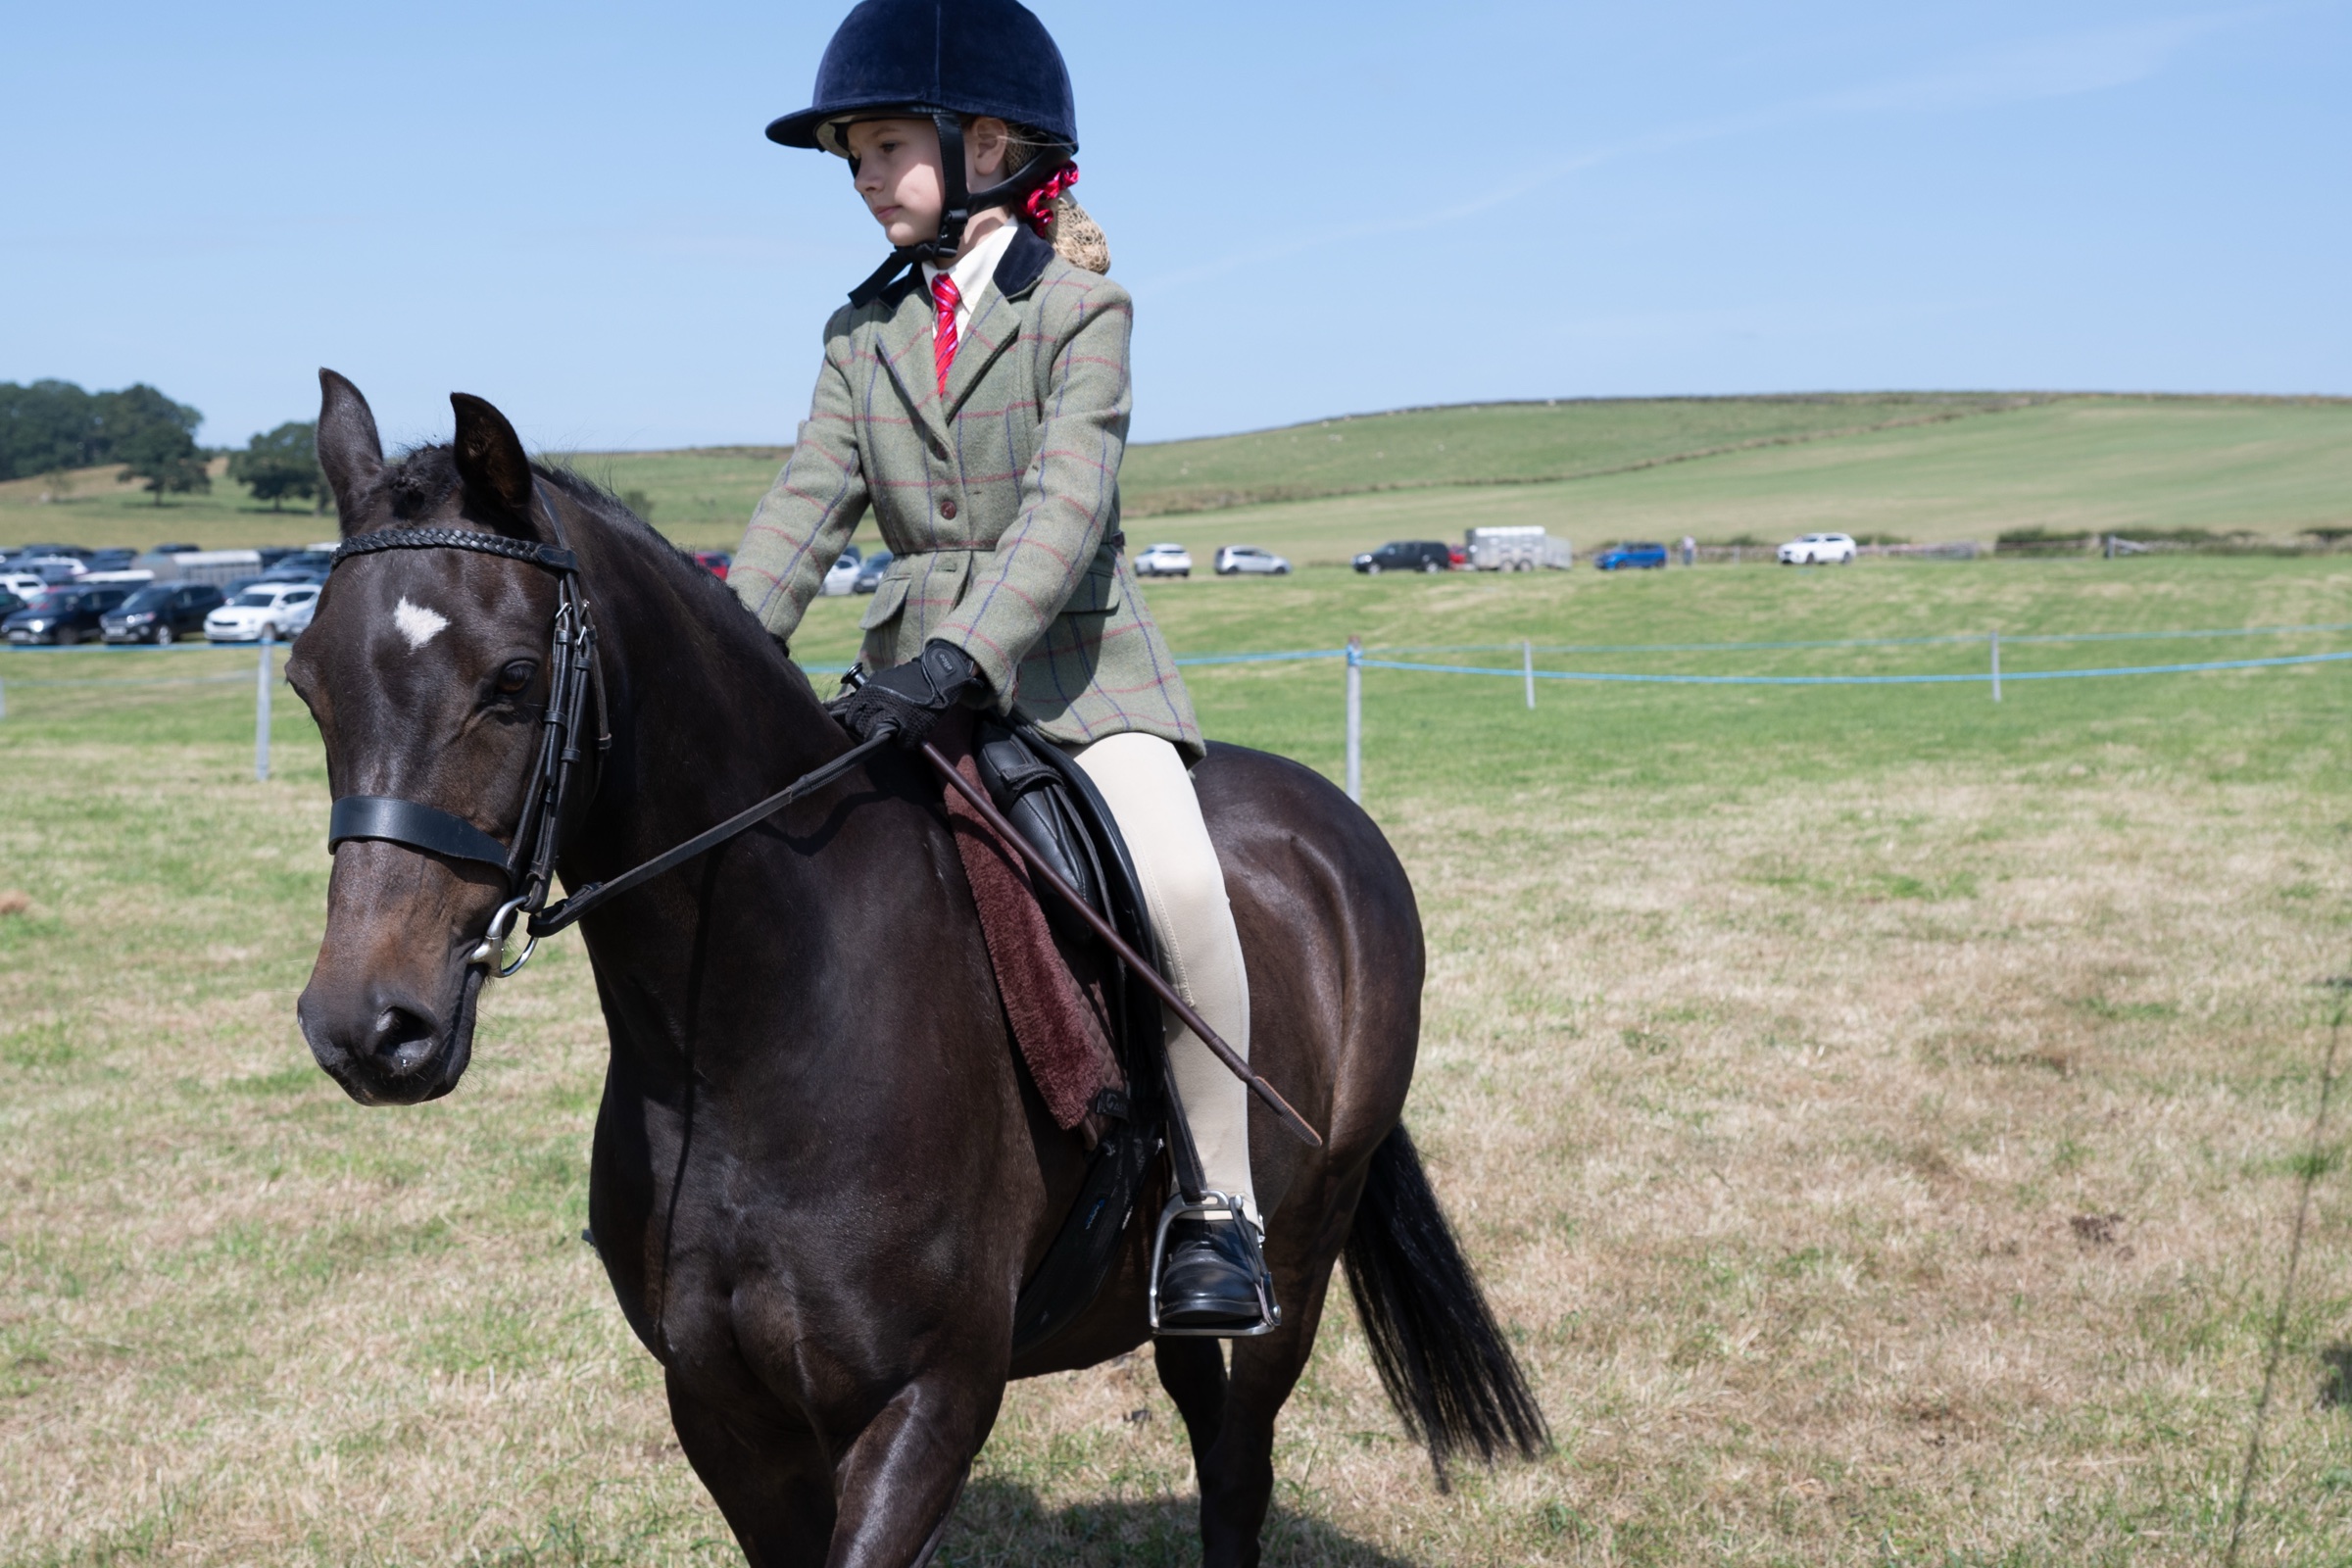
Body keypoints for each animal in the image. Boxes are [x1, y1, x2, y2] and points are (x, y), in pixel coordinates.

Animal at [287, 371, 1545, 1568]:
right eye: (307, 682)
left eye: (510, 678)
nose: (367, 1026)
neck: (754, 1036)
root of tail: (1336, 823)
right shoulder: (724, 1412)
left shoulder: (926, 1401)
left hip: (1305, 1242)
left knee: (1240, 1465)